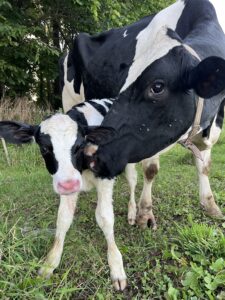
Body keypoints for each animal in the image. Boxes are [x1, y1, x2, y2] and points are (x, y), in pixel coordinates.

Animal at [0, 98, 139, 290]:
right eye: (44, 148)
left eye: (79, 146)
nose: (69, 185)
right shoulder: (66, 182)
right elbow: (63, 219)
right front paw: (50, 263)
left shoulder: (105, 176)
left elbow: (105, 217)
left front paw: (116, 266)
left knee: (135, 181)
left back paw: (134, 212)